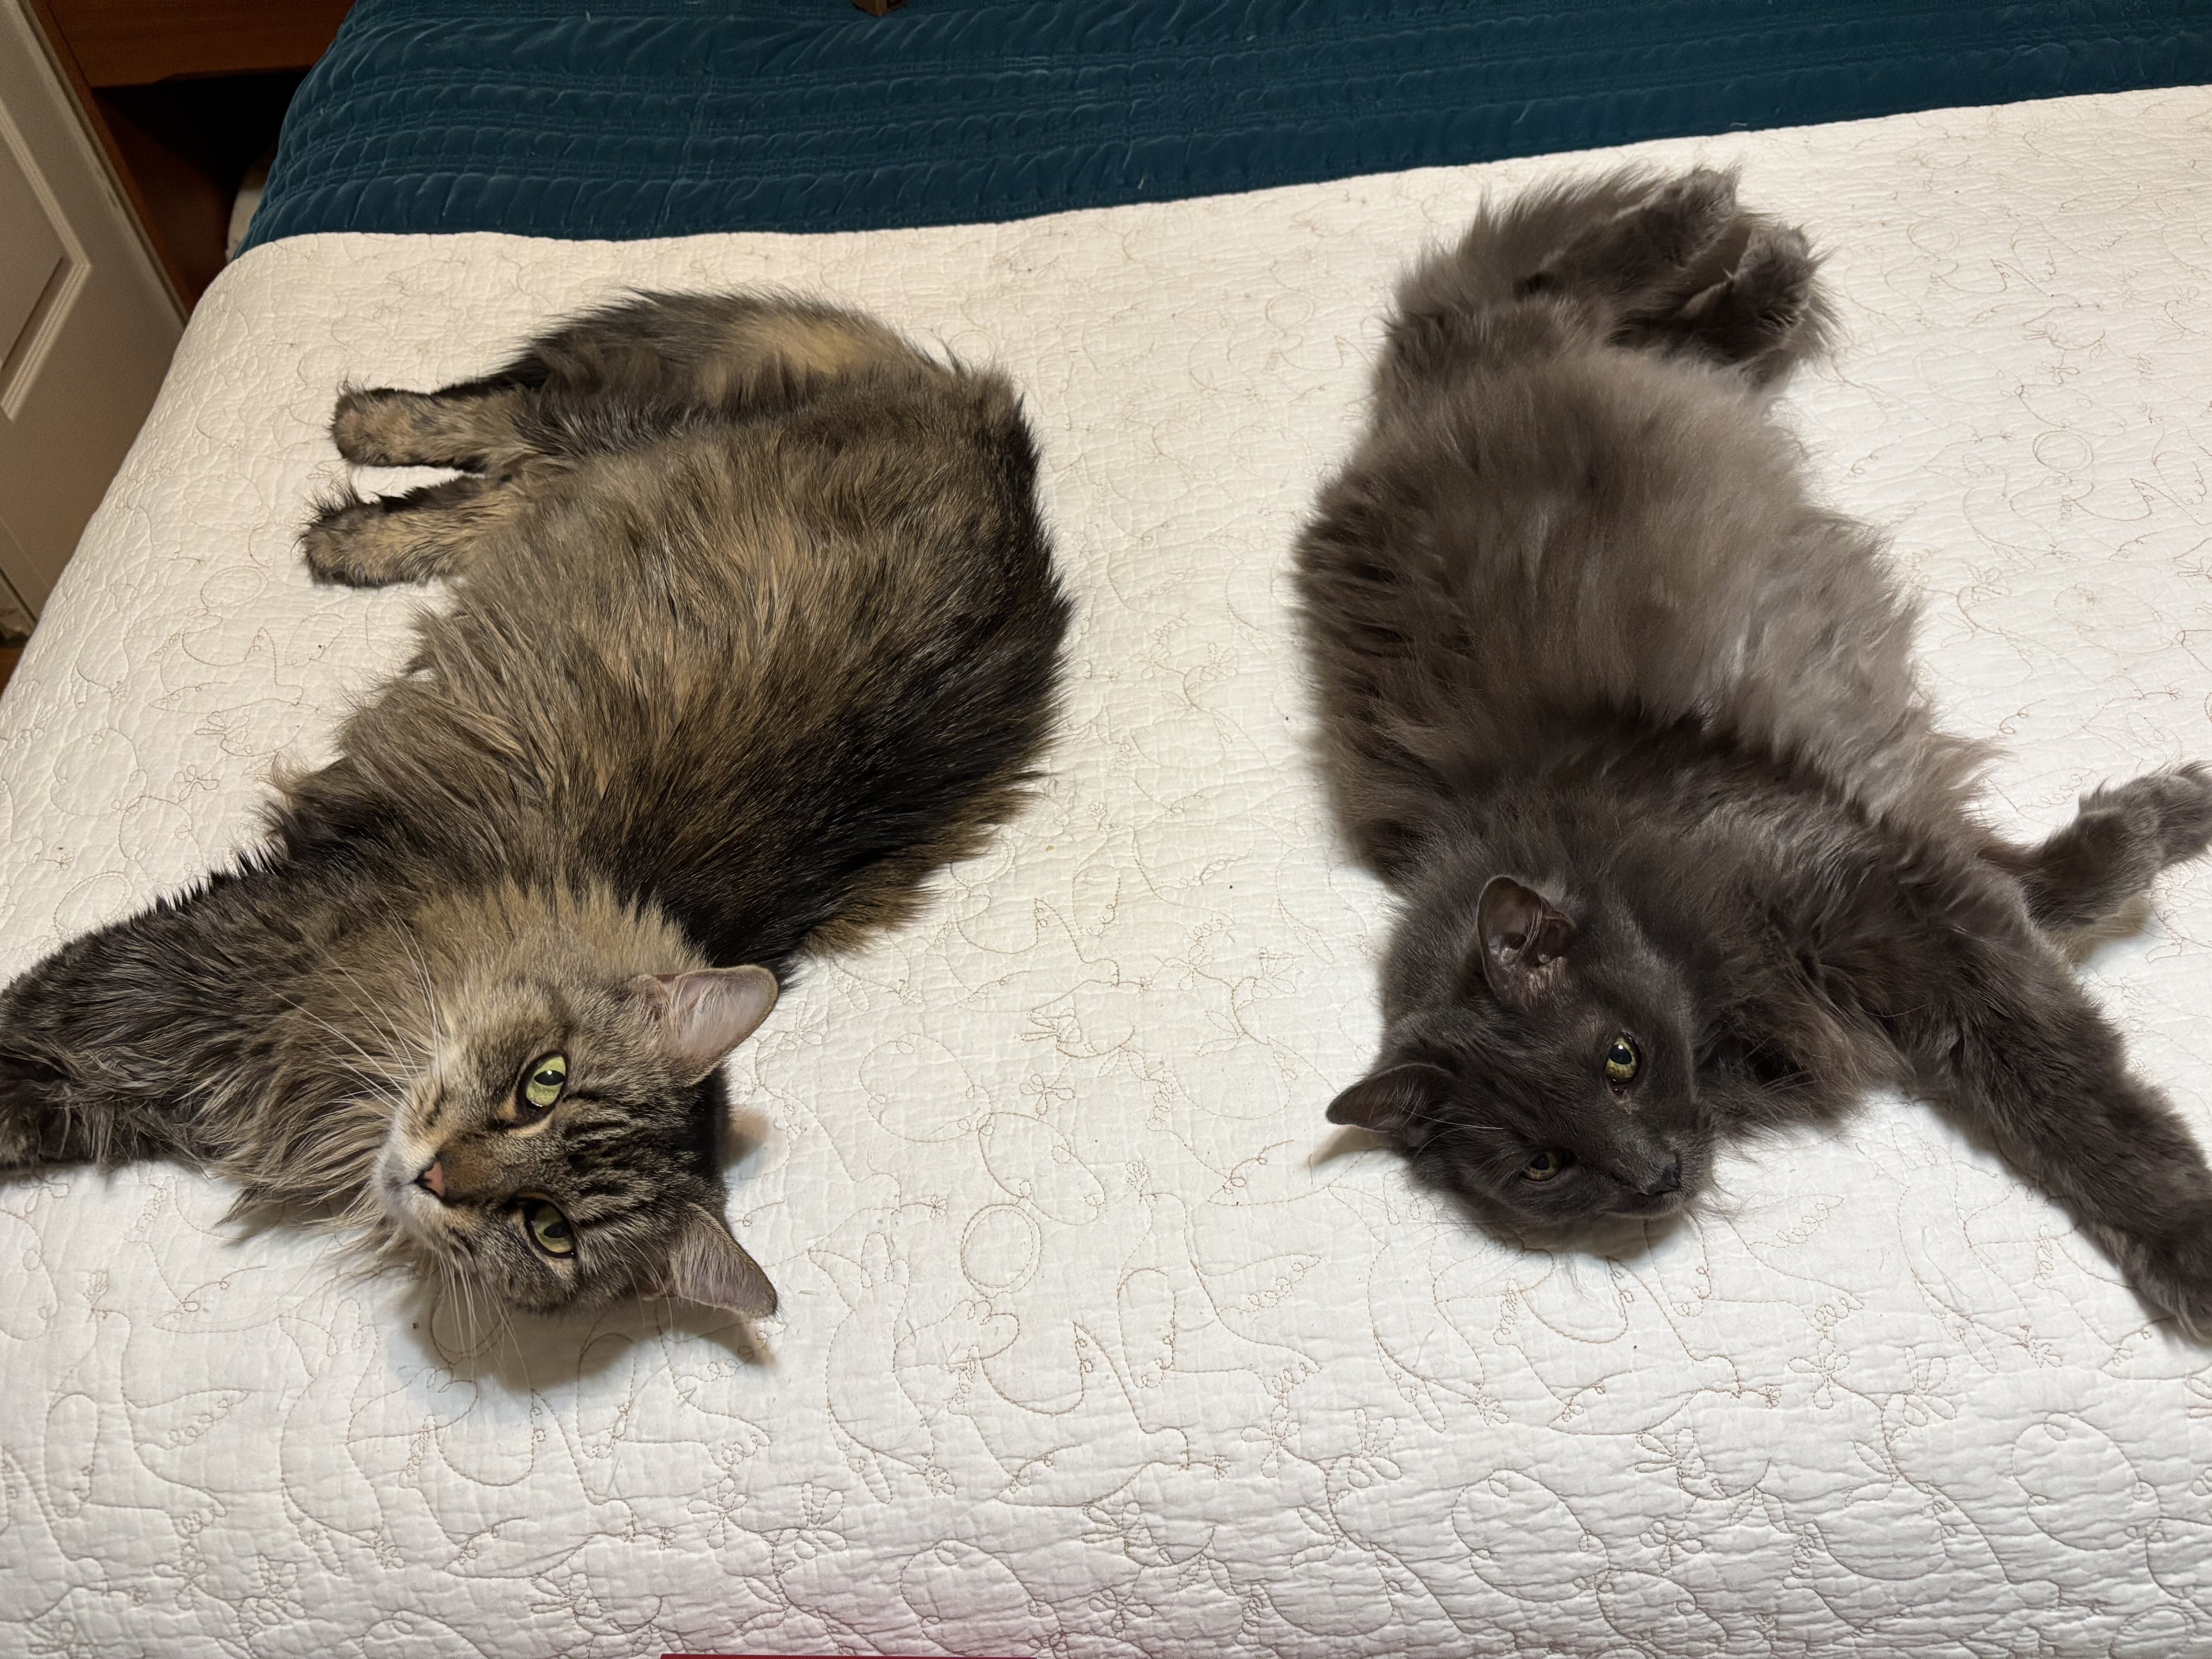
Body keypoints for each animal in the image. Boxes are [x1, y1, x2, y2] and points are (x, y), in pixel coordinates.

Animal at [0, 292, 1069, 1323]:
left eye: (547, 1228)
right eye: (541, 1083)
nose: (436, 1176)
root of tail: (1000, 439)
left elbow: (52, 1094)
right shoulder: (202, 957)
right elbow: (33, 1017)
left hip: (609, 477)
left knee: (512, 475)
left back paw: (356, 523)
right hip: (645, 441)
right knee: (515, 421)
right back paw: (364, 452)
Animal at [1294, 167, 2212, 1331]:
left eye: (1621, 1060)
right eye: (1544, 1166)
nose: (1653, 1178)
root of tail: (1389, 425)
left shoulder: (1888, 899)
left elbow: (2065, 1090)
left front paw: (2188, 1238)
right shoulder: (1901, 867)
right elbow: (2042, 891)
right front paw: (2151, 826)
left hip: (1532, 344)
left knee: (1559, 286)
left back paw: (1718, 224)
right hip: (1610, 369)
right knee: (1660, 339)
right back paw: (1767, 283)